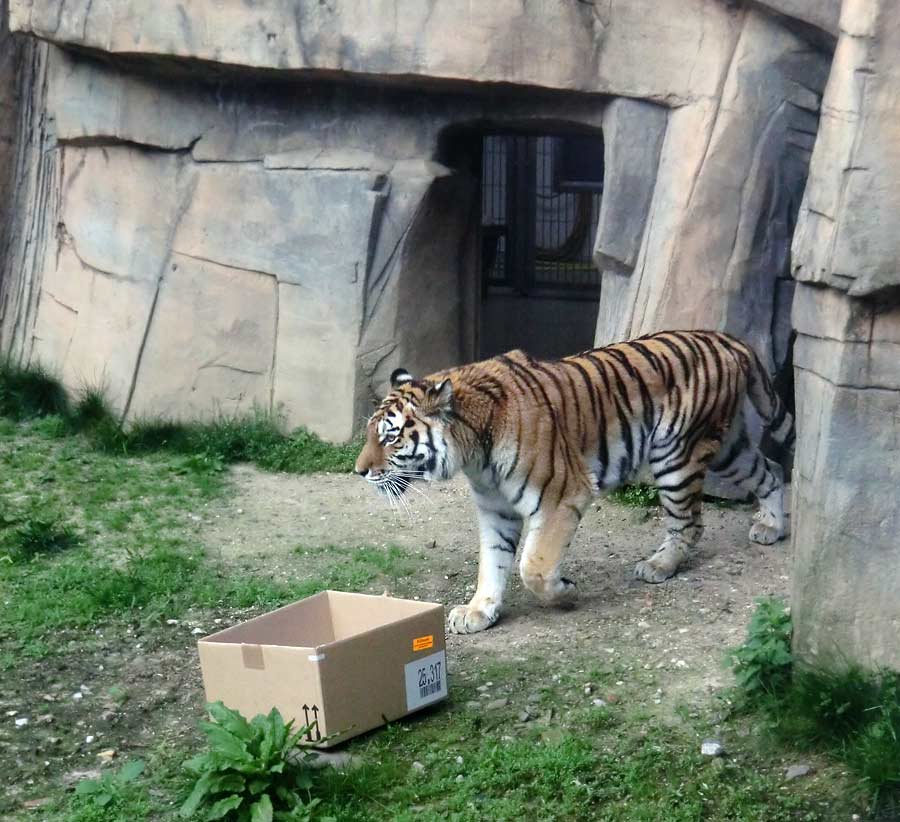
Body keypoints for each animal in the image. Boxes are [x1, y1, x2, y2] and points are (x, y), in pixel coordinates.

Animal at [356, 330, 792, 636]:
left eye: (390, 437)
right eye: (371, 433)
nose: (360, 472)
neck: (474, 453)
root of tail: (725, 337)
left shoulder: (562, 495)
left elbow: (532, 566)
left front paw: (565, 592)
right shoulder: (496, 510)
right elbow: (492, 563)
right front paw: (479, 611)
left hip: (677, 454)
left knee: (690, 522)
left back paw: (658, 565)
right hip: (728, 449)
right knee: (770, 469)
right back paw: (772, 527)